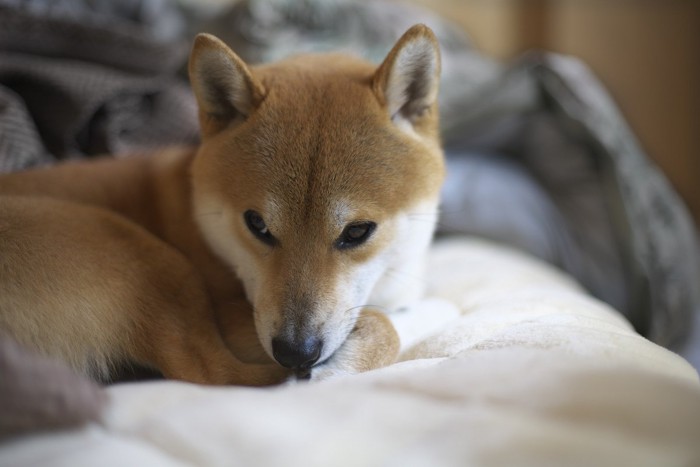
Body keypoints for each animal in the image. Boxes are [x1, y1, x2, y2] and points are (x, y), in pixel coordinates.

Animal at [0, 23, 442, 386]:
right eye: (257, 225)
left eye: (357, 231)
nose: (295, 354)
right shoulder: (236, 316)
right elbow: (387, 326)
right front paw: (341, 365)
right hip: (142, 254)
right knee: (207, 370)